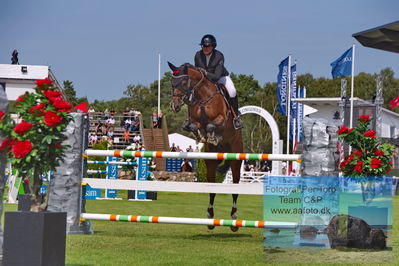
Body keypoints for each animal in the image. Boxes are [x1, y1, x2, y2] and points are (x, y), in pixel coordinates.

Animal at [168, 61, 244, 231]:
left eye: (184, 82)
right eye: (172, 82)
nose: (175, 106)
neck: (202, 97)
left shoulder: (222, 119)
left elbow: (210, 125)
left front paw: (211, 136)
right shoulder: (194, 120)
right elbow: (192, 125)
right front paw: (201, 136)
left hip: (236, 160)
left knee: (235, 189)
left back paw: (234, 219)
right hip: (210, 164)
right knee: (212, 190)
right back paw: (210, 217)